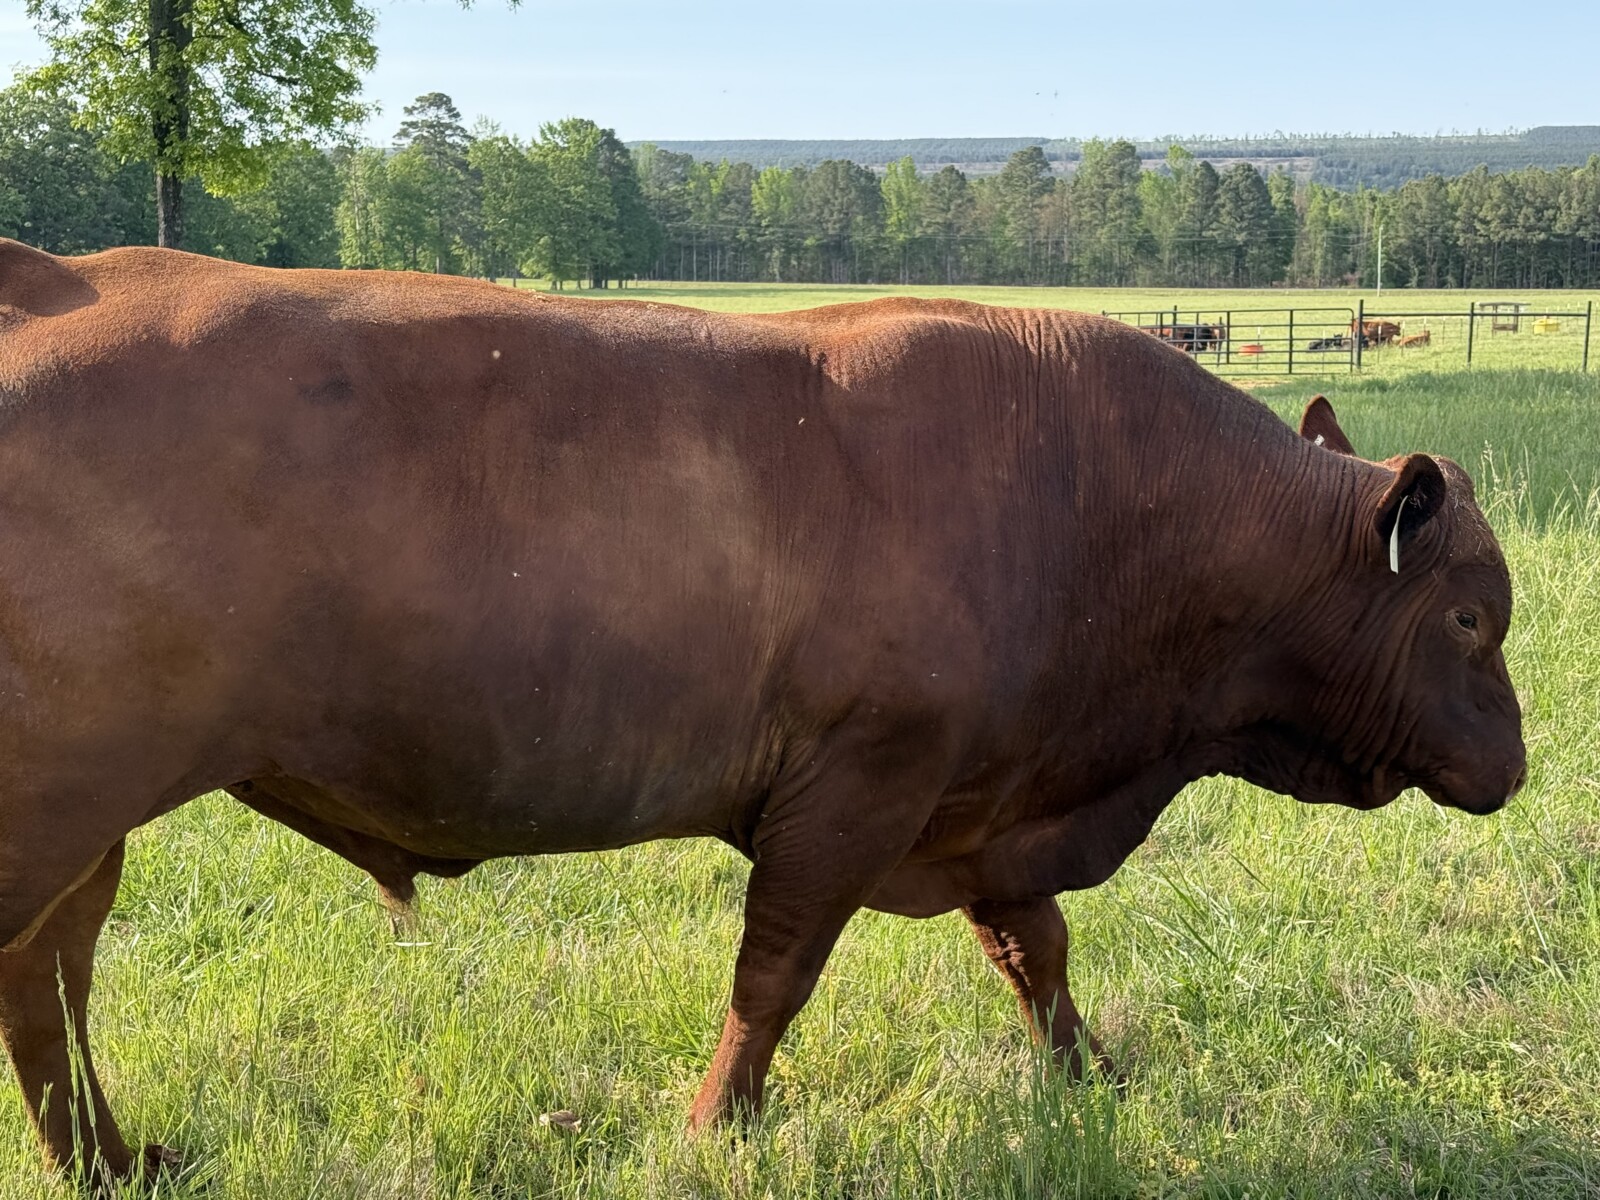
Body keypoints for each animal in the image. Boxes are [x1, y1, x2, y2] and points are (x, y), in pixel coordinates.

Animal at [0, 239, 1525, 1186]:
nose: (1517, 763)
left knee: (49, 985)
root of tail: (54, 277)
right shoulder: (858, 787)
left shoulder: (980, 800)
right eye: (1468, 618)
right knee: (42, 978)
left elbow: (1037, 951)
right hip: (59, 809)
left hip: (85, 828)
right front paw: (712, 1128)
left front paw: (1095, 1082)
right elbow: (775, 974)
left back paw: (114, 1166)